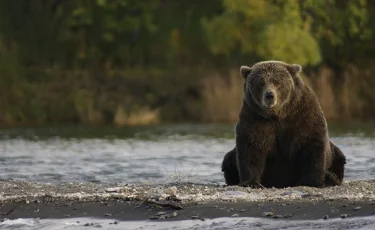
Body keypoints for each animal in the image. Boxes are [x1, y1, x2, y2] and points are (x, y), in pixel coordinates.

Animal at [222, 60, 348, 189]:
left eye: (277, 82)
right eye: (260, 83)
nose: (269, 96)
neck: (277, 115)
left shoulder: (302, 115)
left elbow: (311, 146)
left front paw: (311, 181)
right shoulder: (254, 118)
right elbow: (251, 148)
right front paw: (250, 182)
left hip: (335, 155)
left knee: (338, 158)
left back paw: (330, 177)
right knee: (228, 160)